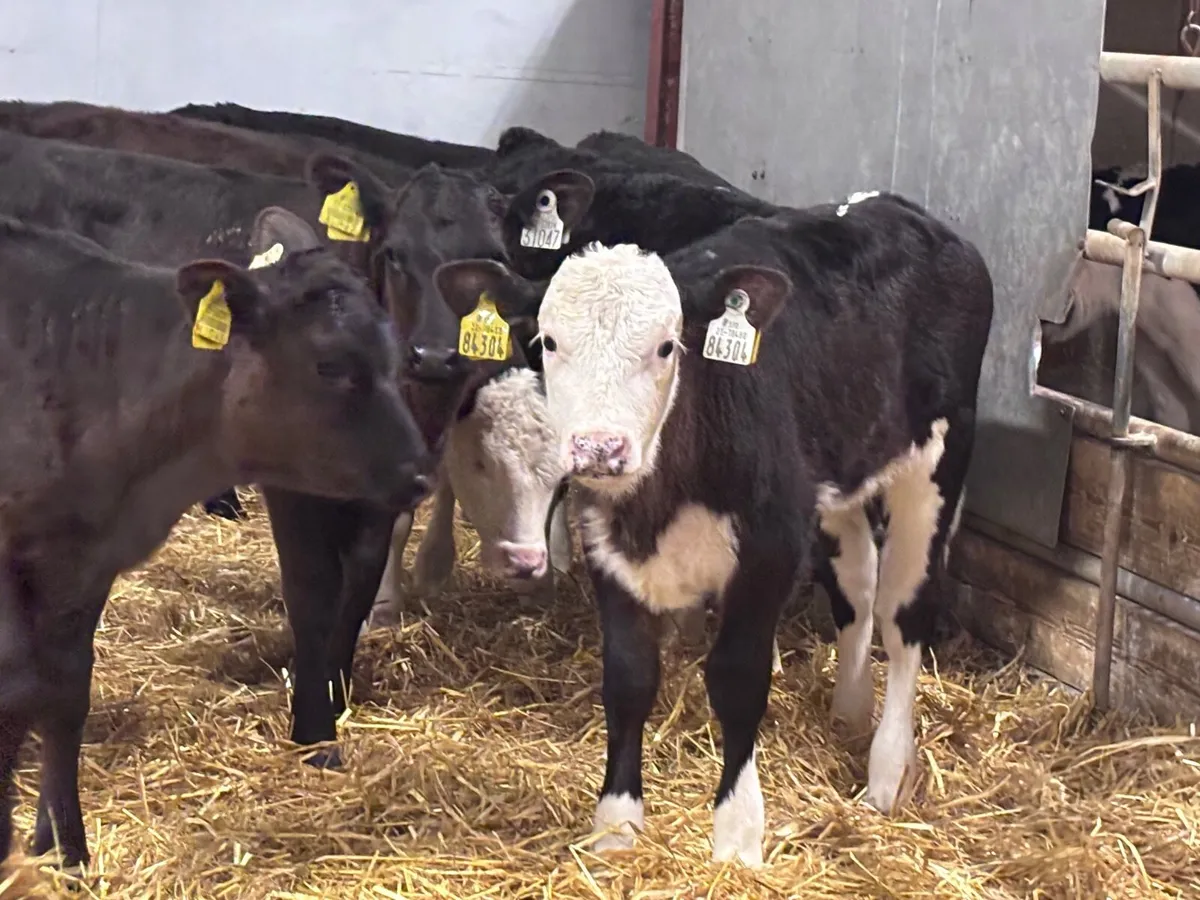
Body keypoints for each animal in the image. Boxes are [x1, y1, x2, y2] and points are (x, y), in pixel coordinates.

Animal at [0, 207, 432, 870]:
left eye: (397, 361)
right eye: (331, 365)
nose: (419, 474)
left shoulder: (84, 561)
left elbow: (61, 695)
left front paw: (60, 849)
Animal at [437, 190, 994, 865]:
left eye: (666, 347)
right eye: (546, 341)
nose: (600, 447)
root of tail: (900, 208)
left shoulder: (770, 546)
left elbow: (737, 678)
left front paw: (738, 834)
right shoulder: (607, 547)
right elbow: (627, 677)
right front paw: (616, 823)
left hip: (939, 460)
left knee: (903, 613)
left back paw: (886, 772)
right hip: (842, 474)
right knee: (858, 588)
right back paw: (849, 709)